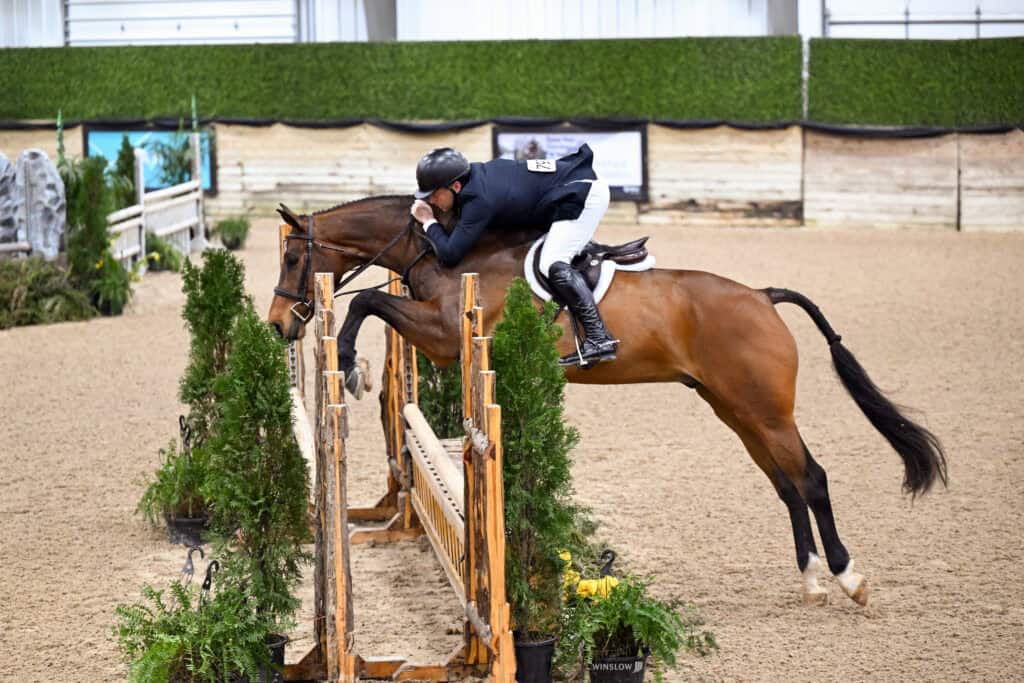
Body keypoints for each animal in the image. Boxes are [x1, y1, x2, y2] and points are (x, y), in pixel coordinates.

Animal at [267, 195, 947, 607]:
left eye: (295, 255)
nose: (278, 325)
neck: (449, 248)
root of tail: (762, 295)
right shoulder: (439, 339)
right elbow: (374, 304)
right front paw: (353, 367)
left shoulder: (444, 338)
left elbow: (365, 300)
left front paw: (346, 364)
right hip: (735, 410)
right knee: (786, 485)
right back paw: (810, 581)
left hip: (765, 410)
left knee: (812, 478)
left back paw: (848, 578)